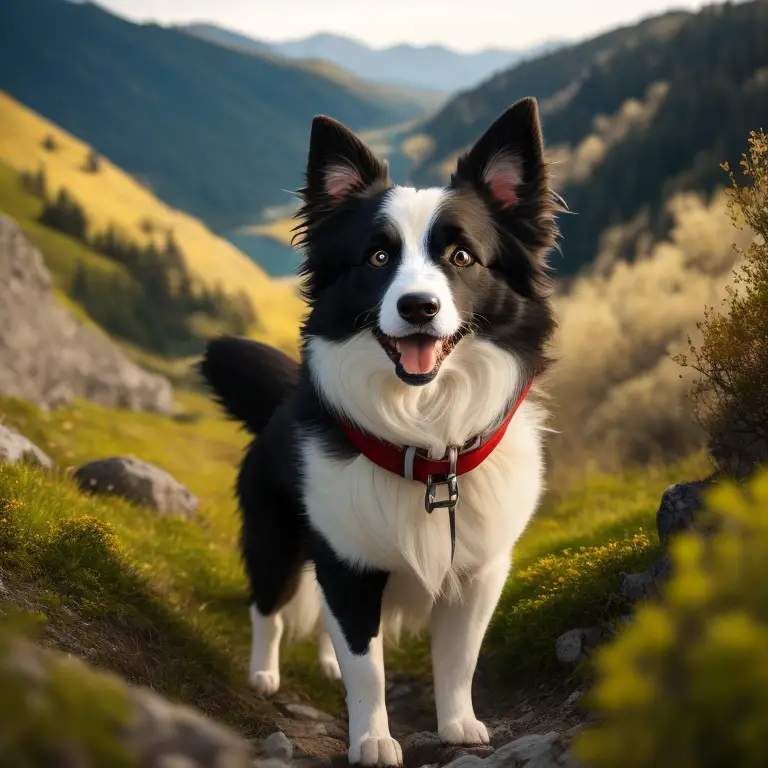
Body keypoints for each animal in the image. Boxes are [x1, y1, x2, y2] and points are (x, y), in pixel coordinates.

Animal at [201, 97, 560, 768]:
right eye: (377, 258)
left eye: (462, 256)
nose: (418, 307)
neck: (425, 440)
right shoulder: (350, 562)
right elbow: (368, 667)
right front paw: (371, 739)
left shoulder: (478, 571)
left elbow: (458, 657)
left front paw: (458, 723)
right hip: (275, 537)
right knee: (269, 607)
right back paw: (264, 673)